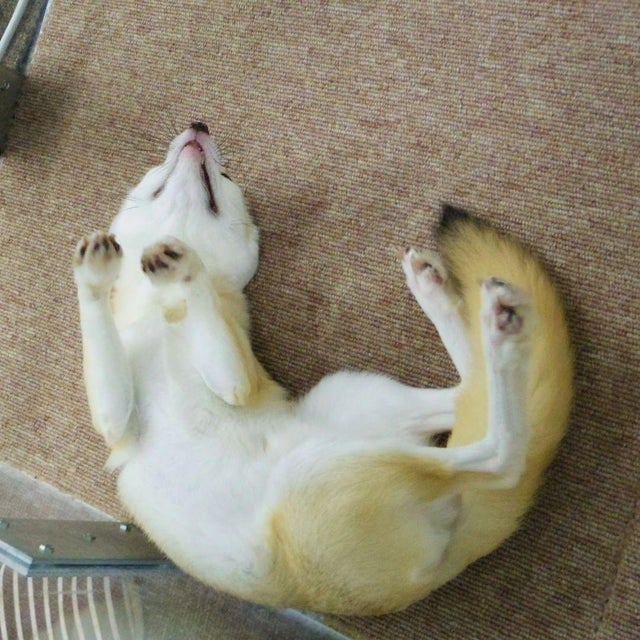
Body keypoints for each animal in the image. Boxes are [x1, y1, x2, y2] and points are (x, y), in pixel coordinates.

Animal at [73, 121, 574, 615]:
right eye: (158, 173)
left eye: (225, 178)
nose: (198, 126)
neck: (164, 309)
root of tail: (446, 560)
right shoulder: (116, 422)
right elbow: (100, 333)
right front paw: (93, 273)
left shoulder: (236, 379)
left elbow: (203, 305)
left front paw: (183, 265)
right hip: (356, 401)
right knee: (473, 400)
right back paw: (459, 304)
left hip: (320, 470)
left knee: (503, 458)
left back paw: (497, 330)